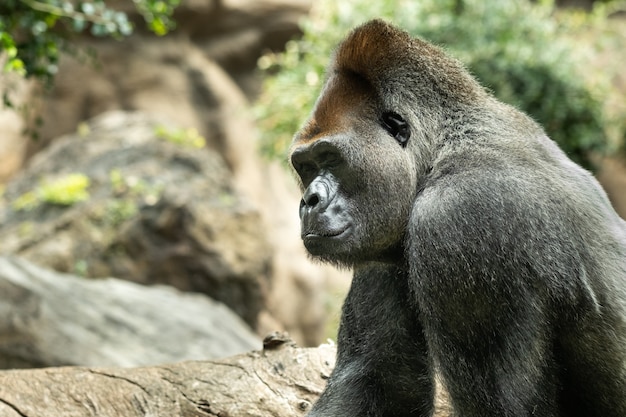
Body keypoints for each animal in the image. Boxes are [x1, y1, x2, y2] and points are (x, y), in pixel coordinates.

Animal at [290, 18, 624, 416]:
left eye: (332, 158)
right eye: (306, 166)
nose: (308, 201)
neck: (441, 148)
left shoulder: (459, 220)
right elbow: (378, 382)